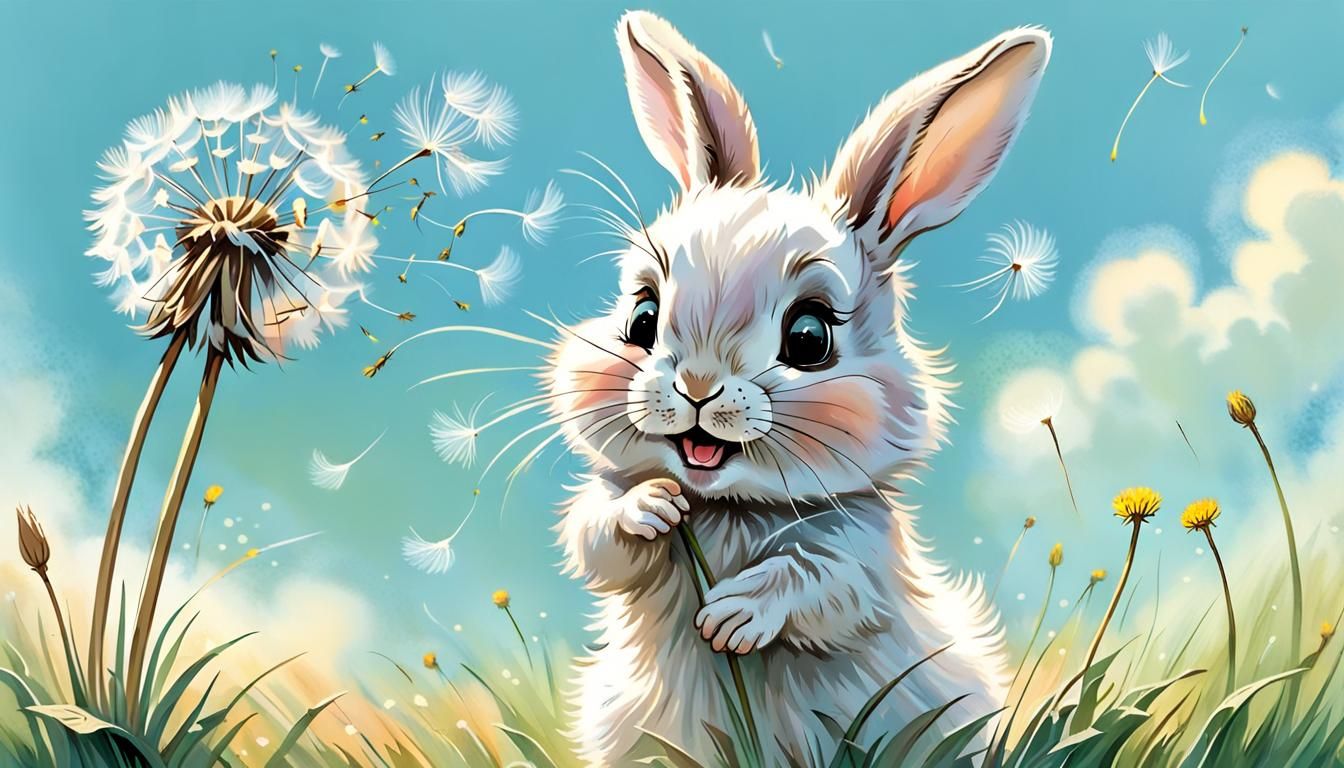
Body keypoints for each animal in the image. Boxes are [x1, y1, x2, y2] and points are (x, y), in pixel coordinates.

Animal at [551, 11, 1050, 766]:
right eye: (641, 317)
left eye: (809, 337)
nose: (697, 386)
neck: (728, 508)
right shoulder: (605, 516)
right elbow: (596, 537)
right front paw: (652, 508)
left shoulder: (861, 551)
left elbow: (821, 585)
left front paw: (731, 616)